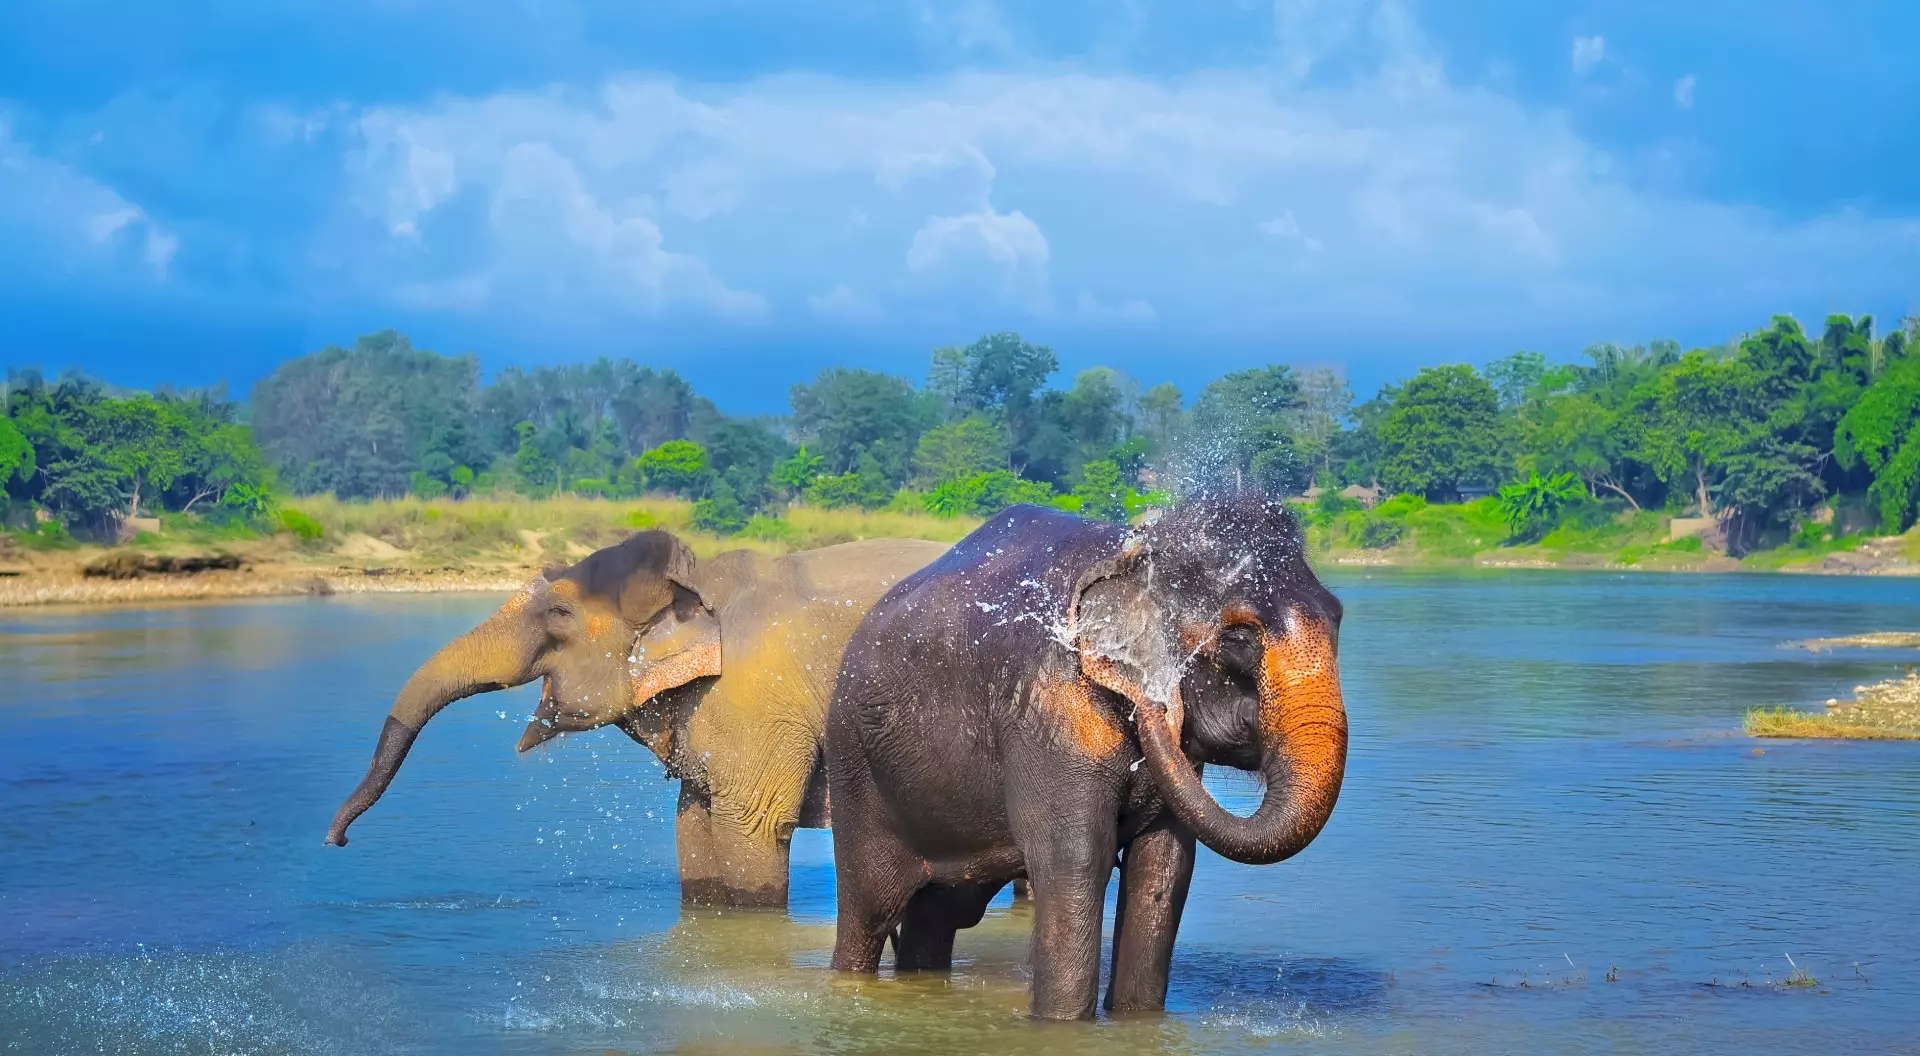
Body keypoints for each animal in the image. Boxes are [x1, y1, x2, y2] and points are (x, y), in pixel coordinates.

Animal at [325, 530, 950, 909]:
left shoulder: (759, 698)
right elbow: (692, 823)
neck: (698, 582)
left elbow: (754, 827)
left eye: (559, 612)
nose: (338, 841)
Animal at [825, 496, 1348, 1020]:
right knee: (869, 913)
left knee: (938, 914)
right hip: (855, 773)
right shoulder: (1051, 714)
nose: (1157, 705)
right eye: (1240, 640)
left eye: (1338, 618)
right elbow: (1075, 861)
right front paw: (1062, 1026)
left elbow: (1162, 869)